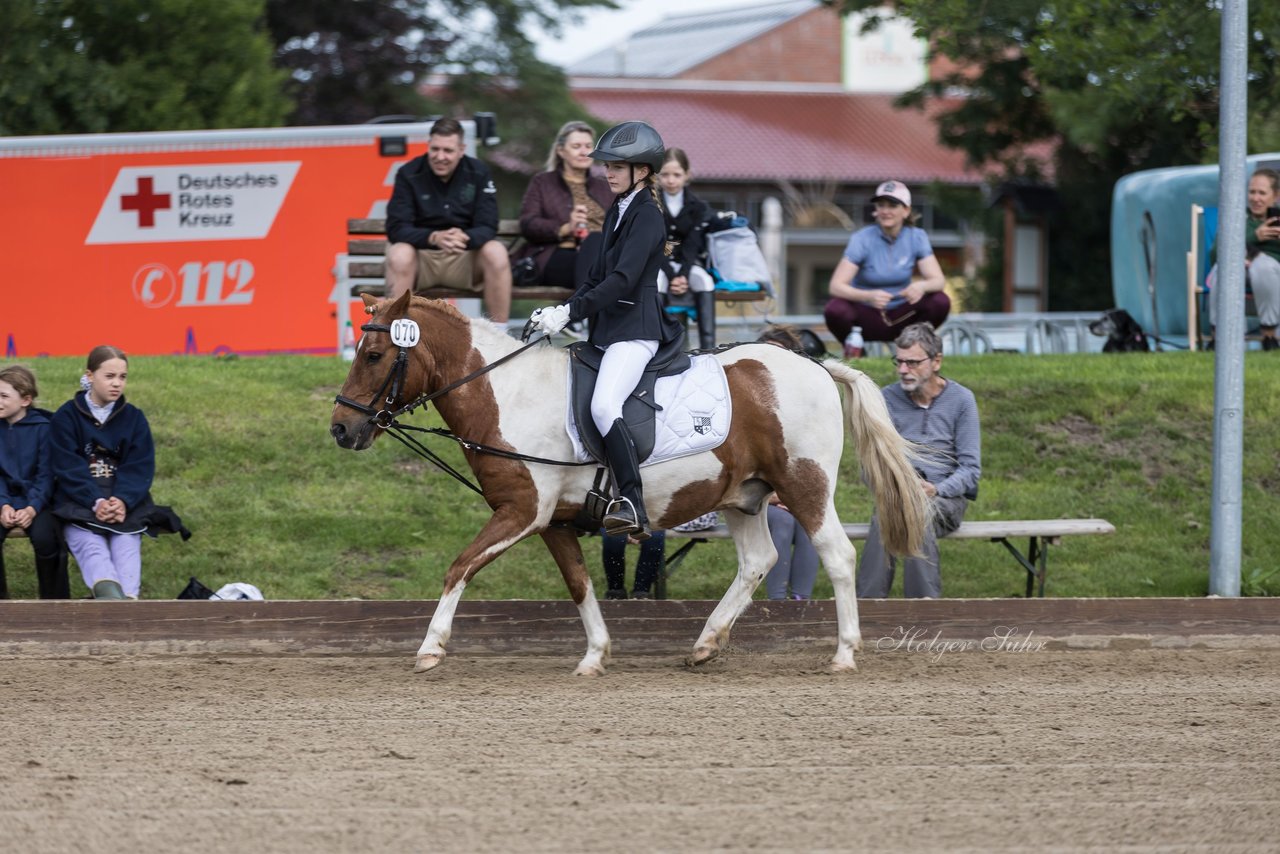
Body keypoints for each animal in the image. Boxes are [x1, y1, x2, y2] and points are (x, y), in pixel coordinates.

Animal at [335, 294, 926, 676]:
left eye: (374, 355)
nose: (341, 429)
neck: (503, 393)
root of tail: (815, 363)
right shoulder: (554, 521)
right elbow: (579, 584)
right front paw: (595, 654)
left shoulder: (523, 510)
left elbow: (460, 566)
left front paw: (430, 648)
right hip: (743, 495)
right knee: (758, 561)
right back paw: (706, 644)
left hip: (804, 482)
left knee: (836, 556)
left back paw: (844, 653)